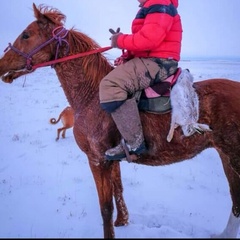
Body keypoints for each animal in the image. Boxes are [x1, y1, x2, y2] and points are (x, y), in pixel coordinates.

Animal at [0, 3, 240, 238]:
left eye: (26, 34)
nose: (2, 64)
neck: (91, 96)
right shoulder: (112, 159)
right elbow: (119, 192)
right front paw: (122, 222)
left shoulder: (97, 160)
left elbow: (105, 207)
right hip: (226, 156)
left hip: (233, 157)